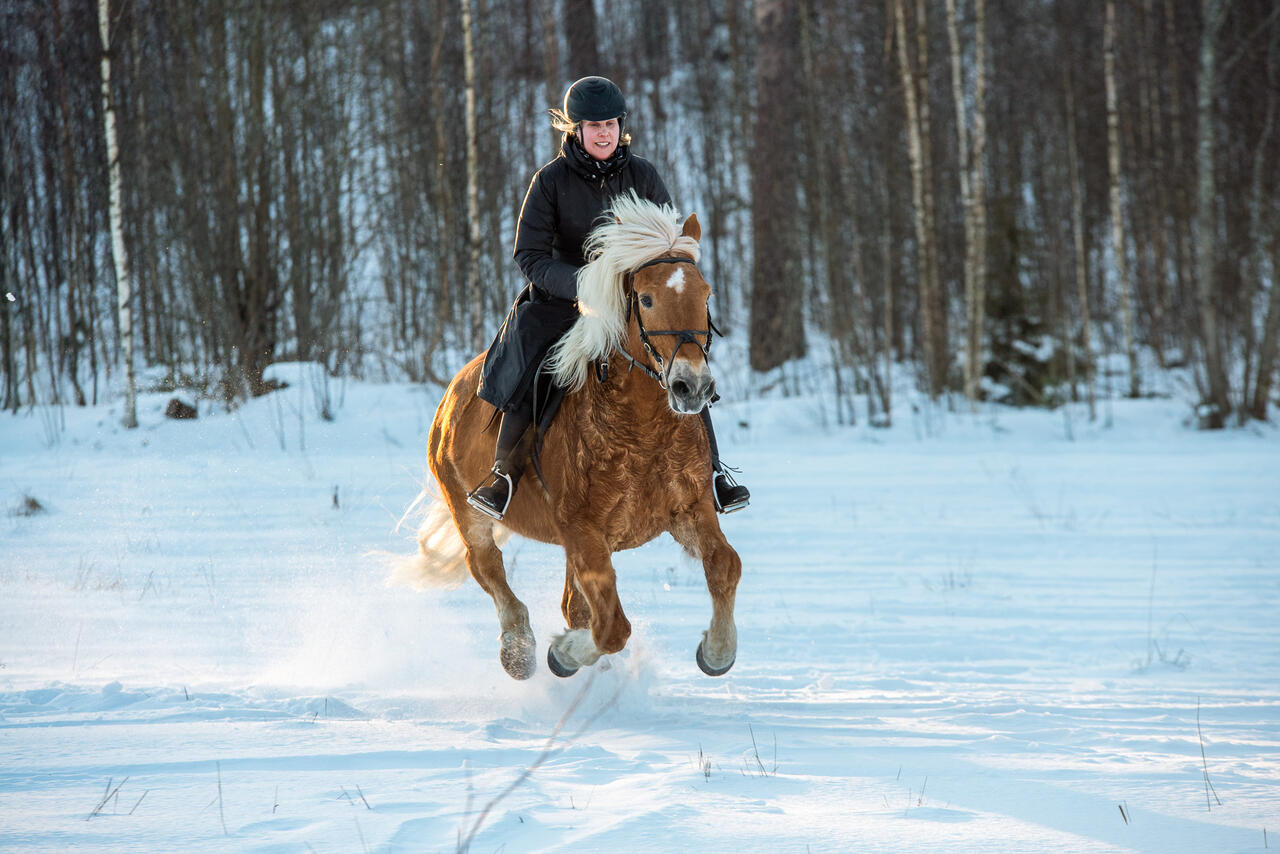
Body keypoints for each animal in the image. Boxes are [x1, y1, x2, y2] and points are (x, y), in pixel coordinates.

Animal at [394, 192, 742, 681]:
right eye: (647, 298)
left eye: (705, 294)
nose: (692, 387)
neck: (642, 434)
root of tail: (453, 392)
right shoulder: (583, 531)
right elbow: (612, 627)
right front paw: (564, 654)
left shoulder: (689, 510)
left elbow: (725, 565)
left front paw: (716, 651)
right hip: (467, 508)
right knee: (485, 565)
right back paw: (518, 650)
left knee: (568, 601)